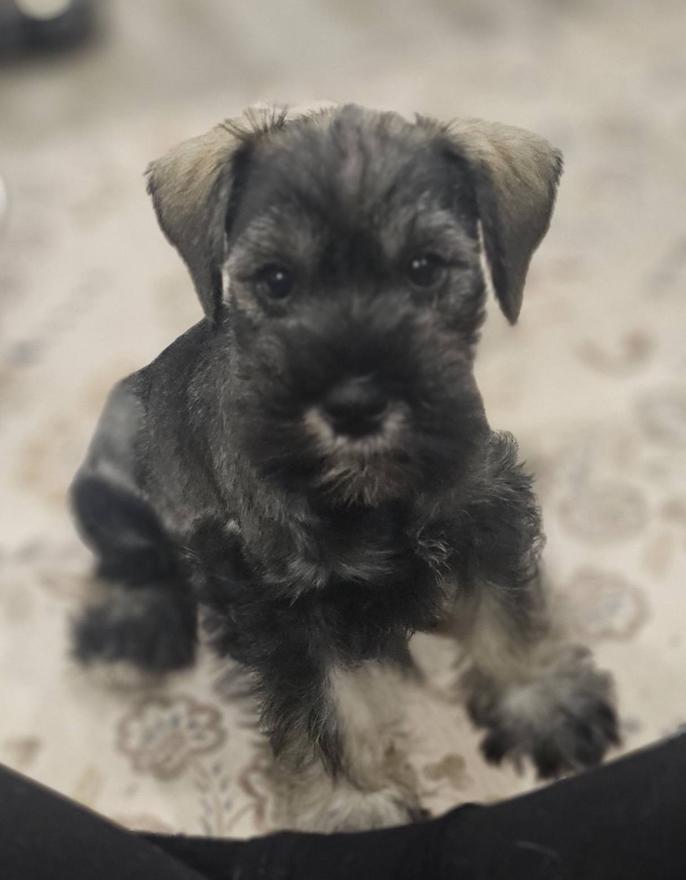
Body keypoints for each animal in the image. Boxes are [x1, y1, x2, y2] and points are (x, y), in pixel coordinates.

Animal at [70, 103, 619, 831]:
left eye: (425, 267)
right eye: (276, 279)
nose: (356, 405)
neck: (370, 493)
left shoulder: (486, 512)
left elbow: (507, 610)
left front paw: (544, 702)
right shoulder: (285, 602)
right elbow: (327, 705)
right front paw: (354, 804)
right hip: (112, 481)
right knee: (136, 560)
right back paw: (131, 629)